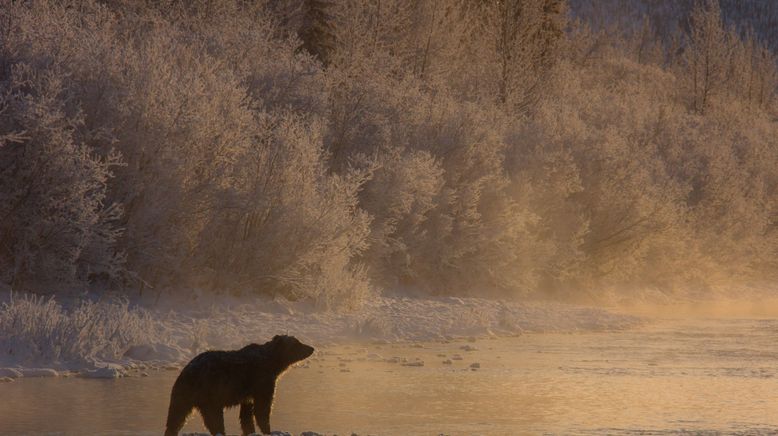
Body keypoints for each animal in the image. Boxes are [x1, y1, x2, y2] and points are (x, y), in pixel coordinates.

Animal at [165, 336, 314, 434]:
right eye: (298, 343)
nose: (311, 348)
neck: (274, 364)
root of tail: (188, 371)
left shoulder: (248, 393)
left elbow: (247, 414)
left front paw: (250, 430)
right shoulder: (262, 381)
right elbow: (262, 409)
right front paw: (268, 430)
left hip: (183, 393)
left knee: (176, 417)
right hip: (210, 391)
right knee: (214, 418)